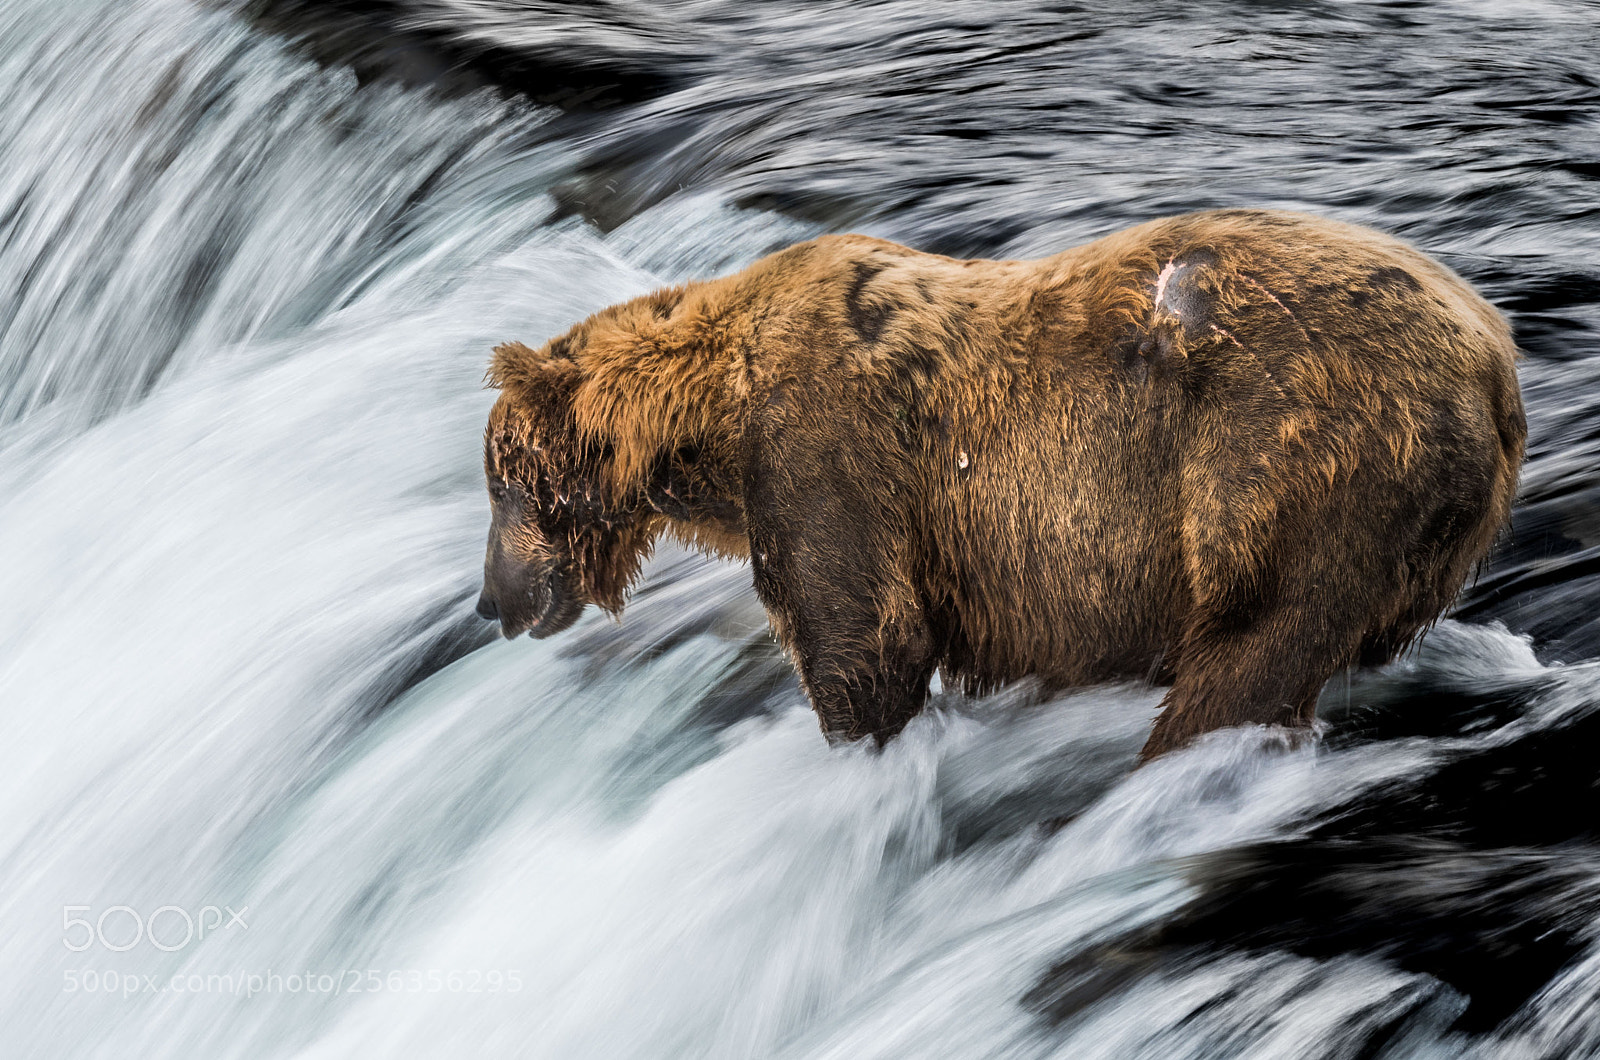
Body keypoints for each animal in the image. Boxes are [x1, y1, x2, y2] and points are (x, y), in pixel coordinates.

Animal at [474, 209, 1525, 761]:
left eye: (498, 488)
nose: (491, 602)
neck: (709, 431)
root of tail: (1495, 357)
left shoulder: (823, 451)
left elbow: (862, 635)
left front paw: (858, 749)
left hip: (1290, 469)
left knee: (1249, 652)